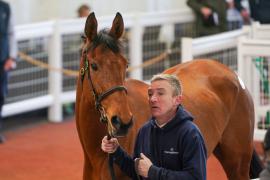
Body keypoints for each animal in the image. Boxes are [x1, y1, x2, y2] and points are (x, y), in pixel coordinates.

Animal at [76, 11, 262, 179]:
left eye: (125, 64)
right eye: (94, 65)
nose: (123, 122)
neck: (97, 157)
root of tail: (232, 74)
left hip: (237, 164)